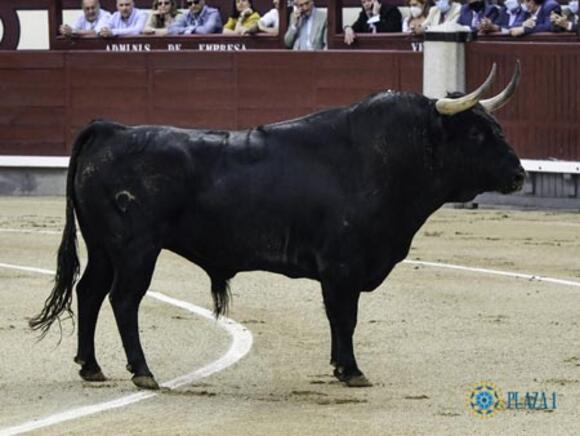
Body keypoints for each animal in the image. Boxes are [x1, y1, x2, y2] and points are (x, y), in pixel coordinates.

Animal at [30, 63, 524, 388]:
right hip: (136, 248)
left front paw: (339, 366)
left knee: (90, 292)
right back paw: (143, 372)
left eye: (496, 126)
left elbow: (337, 317)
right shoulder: (343, 265)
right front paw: (352, 371)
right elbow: (345, 316)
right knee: (123, 300)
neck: (384, 158)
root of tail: (112, 129)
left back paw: (91, 367)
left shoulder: (340, 270)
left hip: (103, 246)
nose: (519, 175)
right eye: (477, 133)